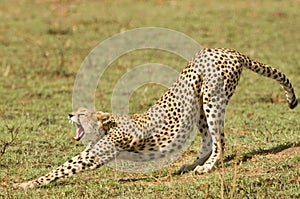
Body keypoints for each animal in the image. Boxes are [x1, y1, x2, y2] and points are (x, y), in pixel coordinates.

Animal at [12, 48, 296, 188]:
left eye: (83, 113)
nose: (70, 114)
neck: (106, 126)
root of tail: (229, 50)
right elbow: (63, 166)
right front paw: (27, 183)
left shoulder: (95, 154)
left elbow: (60, 169)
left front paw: (27, 184)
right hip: (197, 104)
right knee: (208, 139)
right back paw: (191, 164)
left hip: (212, 98)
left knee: (220, 140)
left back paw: (206, 167)